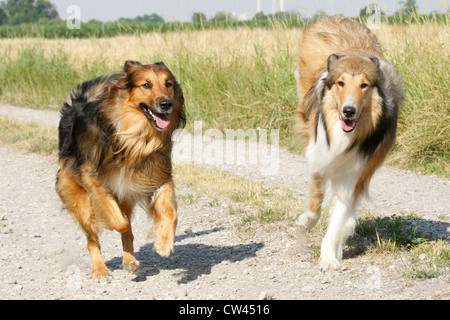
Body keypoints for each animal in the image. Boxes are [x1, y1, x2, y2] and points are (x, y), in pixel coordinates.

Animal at [56, 60, 186, 278]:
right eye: (146, 85)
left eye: (168, 84)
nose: (167, 104)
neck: (134, 136)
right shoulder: (93, 179)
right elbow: (120, 223)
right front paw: (112, 222)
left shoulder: (157, 175)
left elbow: (170, 212)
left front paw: (164, 243)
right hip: (80, 199)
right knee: (92, 239)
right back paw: (100, 268)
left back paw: (129, 261)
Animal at [294, 16, 402, 272]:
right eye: (341, 83)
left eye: (364, 85)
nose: (349, 111)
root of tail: (336, 17)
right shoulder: (320, 153)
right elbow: (315, 200)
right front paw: (305, 221)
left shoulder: (356, 171)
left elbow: (339, 217)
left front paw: (328, 256)